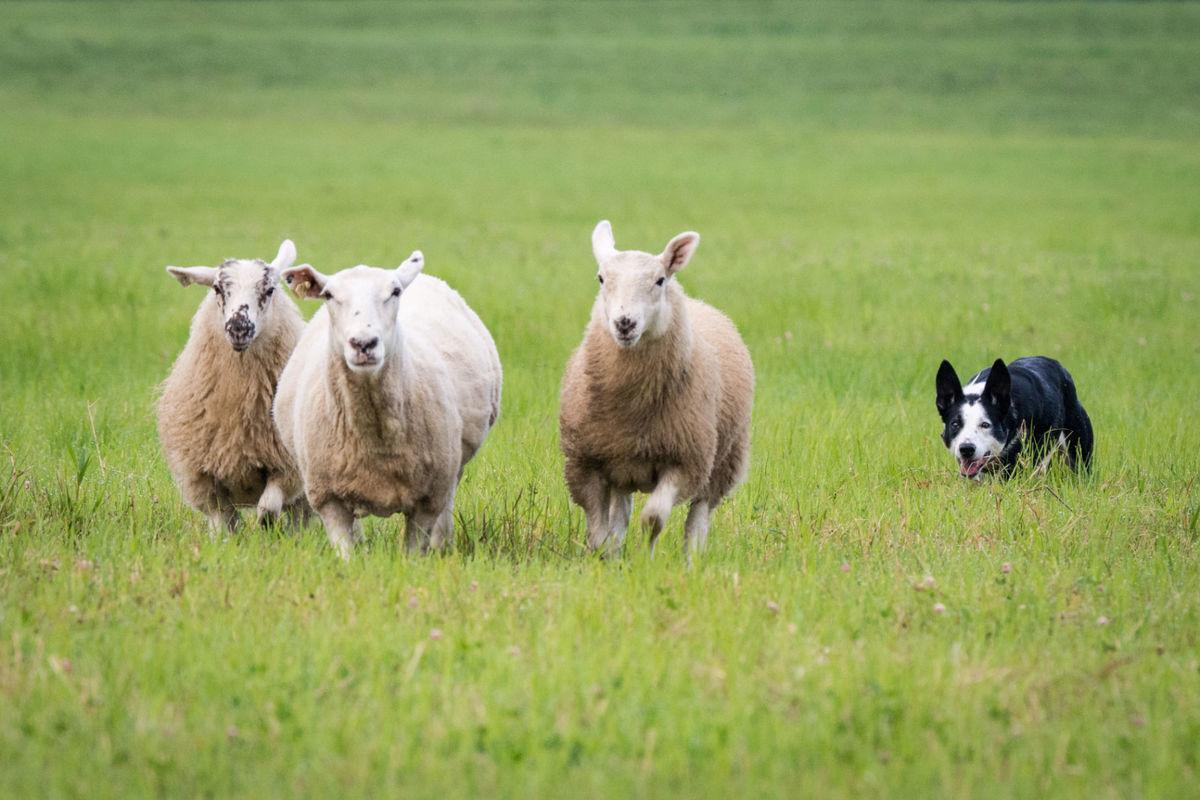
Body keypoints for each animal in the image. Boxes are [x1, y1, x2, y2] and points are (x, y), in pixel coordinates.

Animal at [157, 239, 308, 532]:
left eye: (269, 289)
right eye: (217, 288)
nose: (239, 327)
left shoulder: (286, 469)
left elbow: (267, 511)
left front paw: (271, 532)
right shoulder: (204, 480)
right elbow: (224, 524)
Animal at [274, 251, 502, 559]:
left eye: (394, 292)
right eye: (329, 295)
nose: (364, 343)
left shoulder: (427, 500)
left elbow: (413, 553)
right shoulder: (327, 499)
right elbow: (346, 555)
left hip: (450, 471)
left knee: (445, 514)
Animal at [559, 220, 754, 560]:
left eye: (660, 280)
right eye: (601, 278)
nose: (624, 323)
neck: (631, 405)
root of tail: (700, 304)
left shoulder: (685, 462)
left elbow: (653, 519)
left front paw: (646, 560)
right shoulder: (585, 464)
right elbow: (599, 530)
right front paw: (603, 560)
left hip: (722, 461)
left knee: (698, 517)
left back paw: (692, 561)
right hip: (622, 465)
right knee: (620, 517)